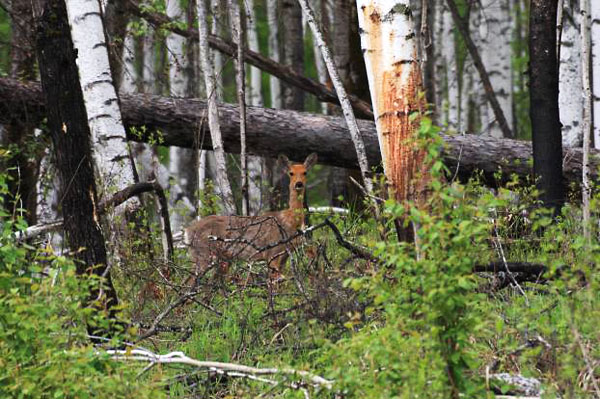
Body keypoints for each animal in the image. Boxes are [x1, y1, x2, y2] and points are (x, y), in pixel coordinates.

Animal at [185, 152, 318, 286]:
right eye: (291, 173)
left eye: (305, 172)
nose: (299, 184)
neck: (289, 221)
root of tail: (188, 231)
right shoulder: (272, 252)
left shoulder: (285, 255)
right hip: (203, 252)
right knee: (189, 282)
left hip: (220, 259)